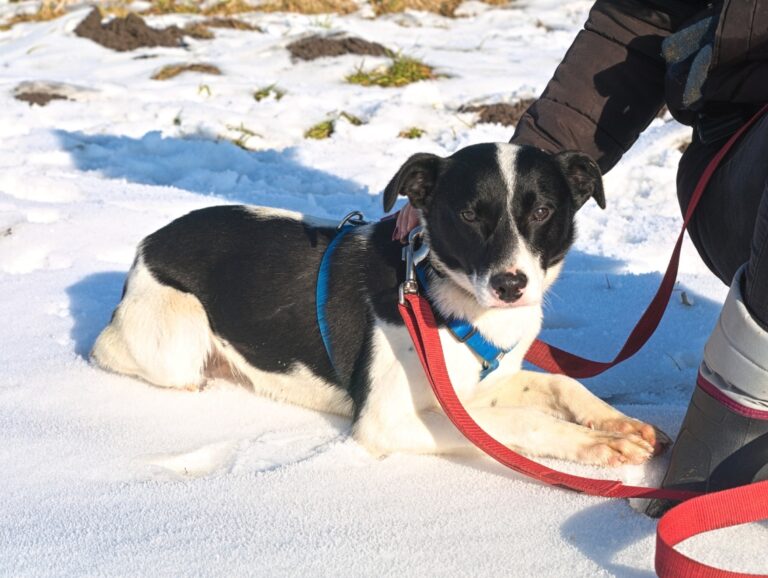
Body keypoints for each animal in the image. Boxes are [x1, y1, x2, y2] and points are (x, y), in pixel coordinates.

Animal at [90, 143, 664, 464]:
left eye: (542, 211)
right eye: (469, 214)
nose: (510, 285)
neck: (441, 298)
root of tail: (149, 242)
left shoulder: (483, 386)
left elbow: (561, 384)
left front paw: (615, 422)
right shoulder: (389, 421)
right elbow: (524, 422)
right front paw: (595, 445)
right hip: (176, 337)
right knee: (114, 352)